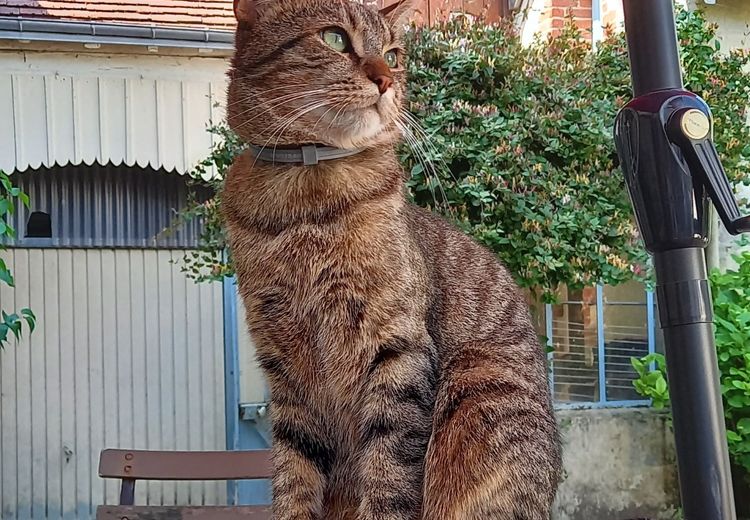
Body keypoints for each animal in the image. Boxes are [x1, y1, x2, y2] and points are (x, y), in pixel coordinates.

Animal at [220, 2, 560, 516]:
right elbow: (293, 475)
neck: (306, 204)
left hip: (479, 386)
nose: (384, 80)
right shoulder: (284, 369)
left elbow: (389, 470)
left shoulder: (398, 347)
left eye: (394, 56)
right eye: (335, 38)